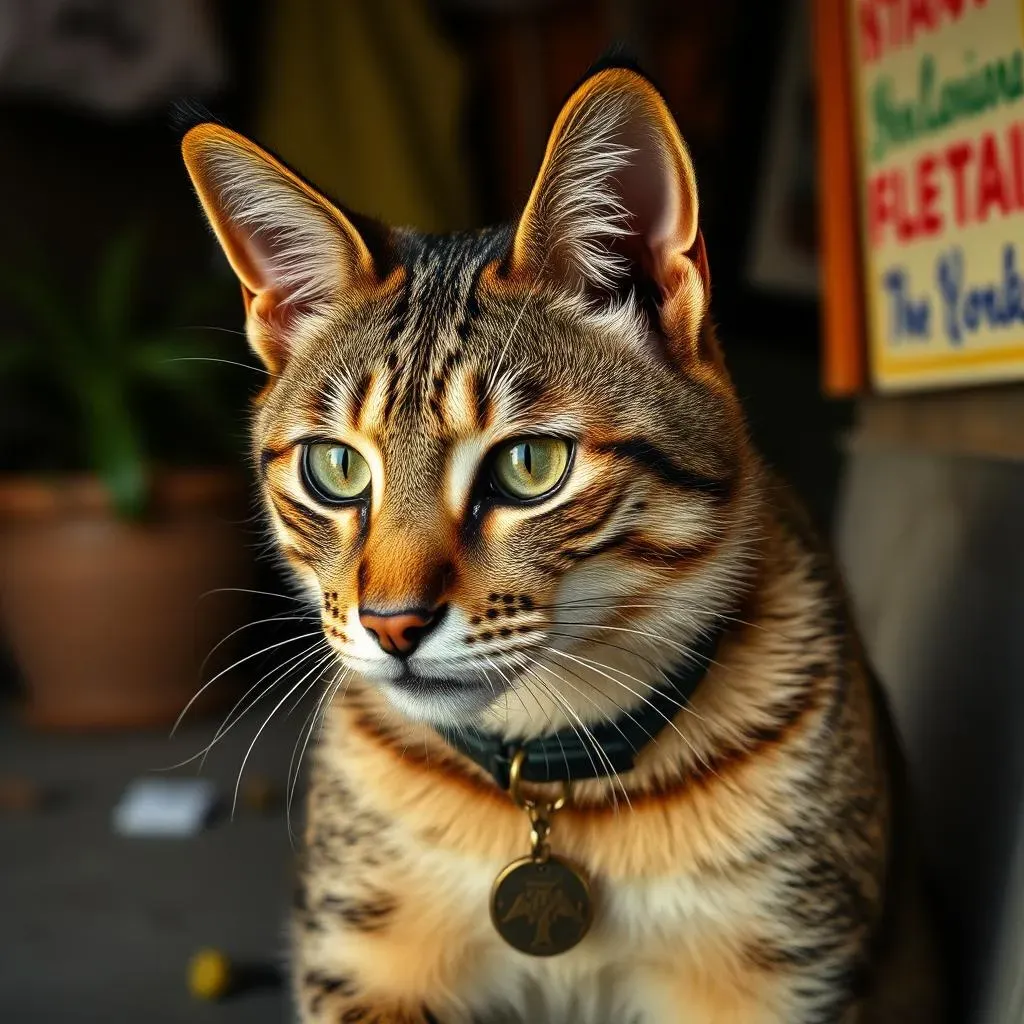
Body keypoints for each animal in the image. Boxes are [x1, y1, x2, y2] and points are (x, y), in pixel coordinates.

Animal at [182, 61, 942, 1024]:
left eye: (531, 464)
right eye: (336, 469)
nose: (391, 625)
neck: (551, 776)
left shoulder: (781, 976)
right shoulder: (364, 966)